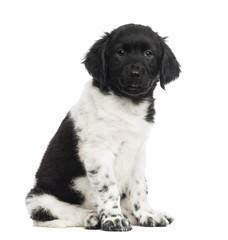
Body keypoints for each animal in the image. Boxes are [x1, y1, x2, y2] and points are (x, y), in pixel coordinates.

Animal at [25, 23, 181, 231]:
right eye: (120, 52)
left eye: (148, 53)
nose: (135, 74)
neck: (126, 105)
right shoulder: (98, 152)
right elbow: (109, 189)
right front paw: (113, 219)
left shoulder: (138, 152)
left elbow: (139, 187)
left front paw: (147, 215)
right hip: (38, 198)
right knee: (54, 214)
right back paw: (92, 217)